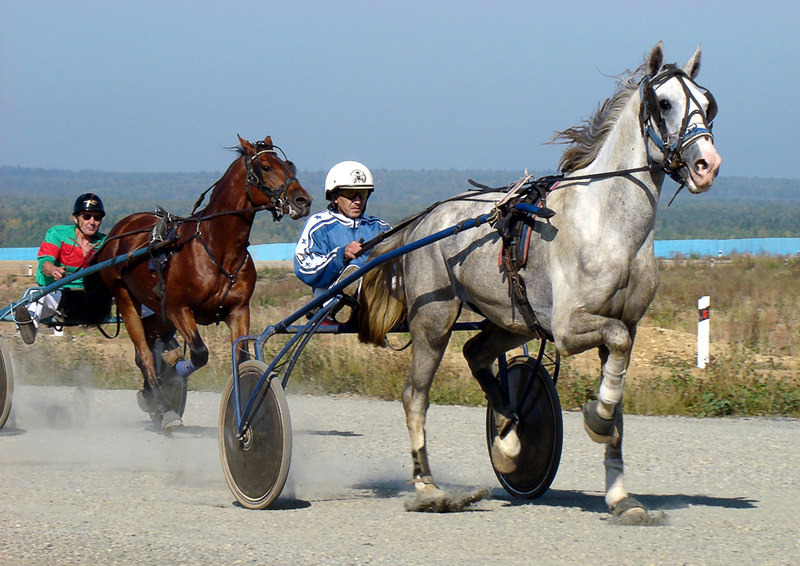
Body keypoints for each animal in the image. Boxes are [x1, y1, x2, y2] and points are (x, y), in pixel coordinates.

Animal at [90, 136, 310, 430]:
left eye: (288, 165)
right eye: (265, 166)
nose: (303, 200)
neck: (219, 249)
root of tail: (119, 229)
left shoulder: (238, 310)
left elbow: (240, 357)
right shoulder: (178, 308)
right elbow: (198, 353)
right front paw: (174, 362)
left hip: (156, 311)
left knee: (147, 347)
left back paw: (150, 395)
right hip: (127, 299)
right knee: (145, 354)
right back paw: (164, 407)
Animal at [360, 43, 720, 524]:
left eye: (708, 102)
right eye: (664, 103)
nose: (707, 165)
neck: (607, 223)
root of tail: (425, 219)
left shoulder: (626, 322)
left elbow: (620, 383)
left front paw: (621, 496)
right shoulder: (569, 327)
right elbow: (616, 346)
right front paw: (596, 417)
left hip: (511, 320)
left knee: (476, 354)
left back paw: (509, 432)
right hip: (433, 321)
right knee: (414, 396)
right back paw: (427, 487)